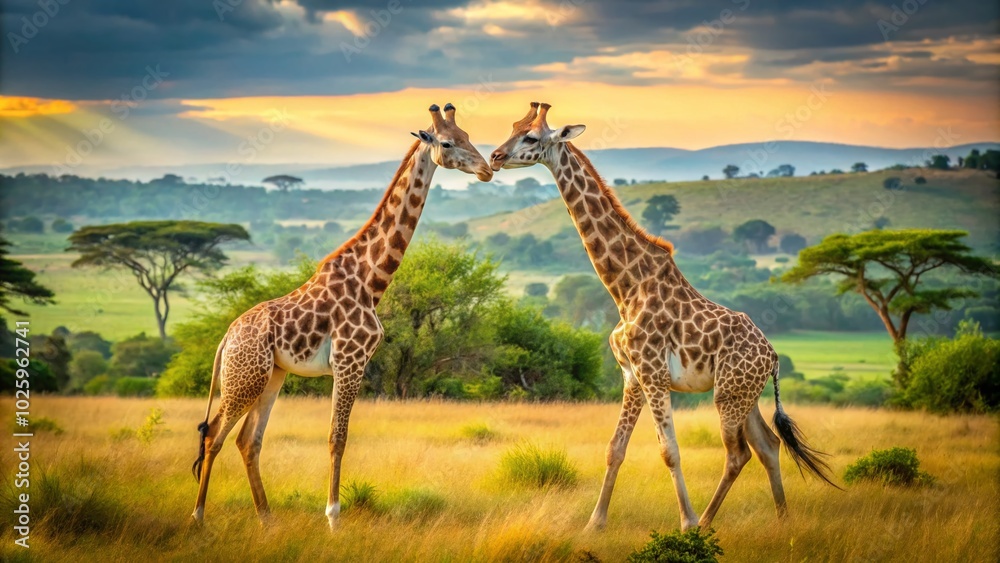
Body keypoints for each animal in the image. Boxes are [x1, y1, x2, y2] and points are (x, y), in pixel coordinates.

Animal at [191, 103, 493, 529]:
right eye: (448, 143)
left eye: (467, 135)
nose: (486, 169)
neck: (371, 280)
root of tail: (225, 339)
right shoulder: (351, 361)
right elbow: (338, 437)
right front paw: (334, 519)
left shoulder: (352, 364)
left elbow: (336, 437)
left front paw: (330, 517)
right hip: (244, 378)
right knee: (213, 434)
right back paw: (198, 517)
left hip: (272, 376)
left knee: (247, 440)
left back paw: (268, 521)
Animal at [490, 102, 837, 531]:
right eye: (513, 126)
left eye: (532, 137)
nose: (495, 157)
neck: (625, 289)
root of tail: (772, 357)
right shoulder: (632, 376)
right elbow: (614, 449)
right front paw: (594, 523)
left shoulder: (653, 374)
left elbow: (669, 450)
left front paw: (685, 522)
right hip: (743, 394)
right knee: (769, 446)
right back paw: (782, 519)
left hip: (728, 396)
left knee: (739, 453)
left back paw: (704, 523)